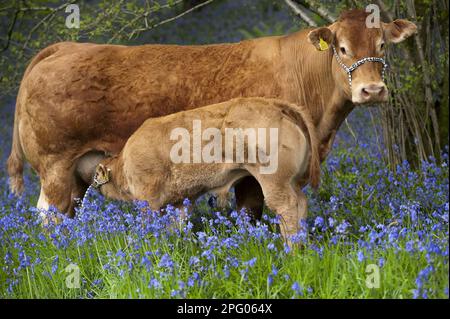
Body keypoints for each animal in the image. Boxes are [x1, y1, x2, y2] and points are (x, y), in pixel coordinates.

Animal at [7, 9, 416, 218]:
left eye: (383, 45)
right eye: (342, 48)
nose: (372, 90)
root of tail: (63, 47)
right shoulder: (255, 171)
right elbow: (253, 211)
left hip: (79, 170)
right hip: (55, 165)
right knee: (49, 215)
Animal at [81, 98, 320, 242]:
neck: (123, 163)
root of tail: (277, 105)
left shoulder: (147, 200)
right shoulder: (180, 201)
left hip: (274, 181)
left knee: (287, 208)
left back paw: (292, 252)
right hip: (292, 182)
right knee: (301, 203)